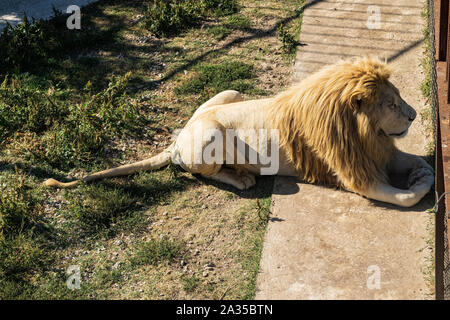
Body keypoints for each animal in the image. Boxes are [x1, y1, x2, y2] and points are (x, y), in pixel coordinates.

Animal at [44, 57, 434, 208]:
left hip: (229, 92)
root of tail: (177, 140)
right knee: (198, 173)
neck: (366, 133)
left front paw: (421, 170)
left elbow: (414, 160)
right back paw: (242, 177)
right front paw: (420, 184)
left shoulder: (379, 150)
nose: (414, 115)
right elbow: (406, 197)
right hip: (207, 138)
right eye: (392, 105)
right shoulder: (353, 171)